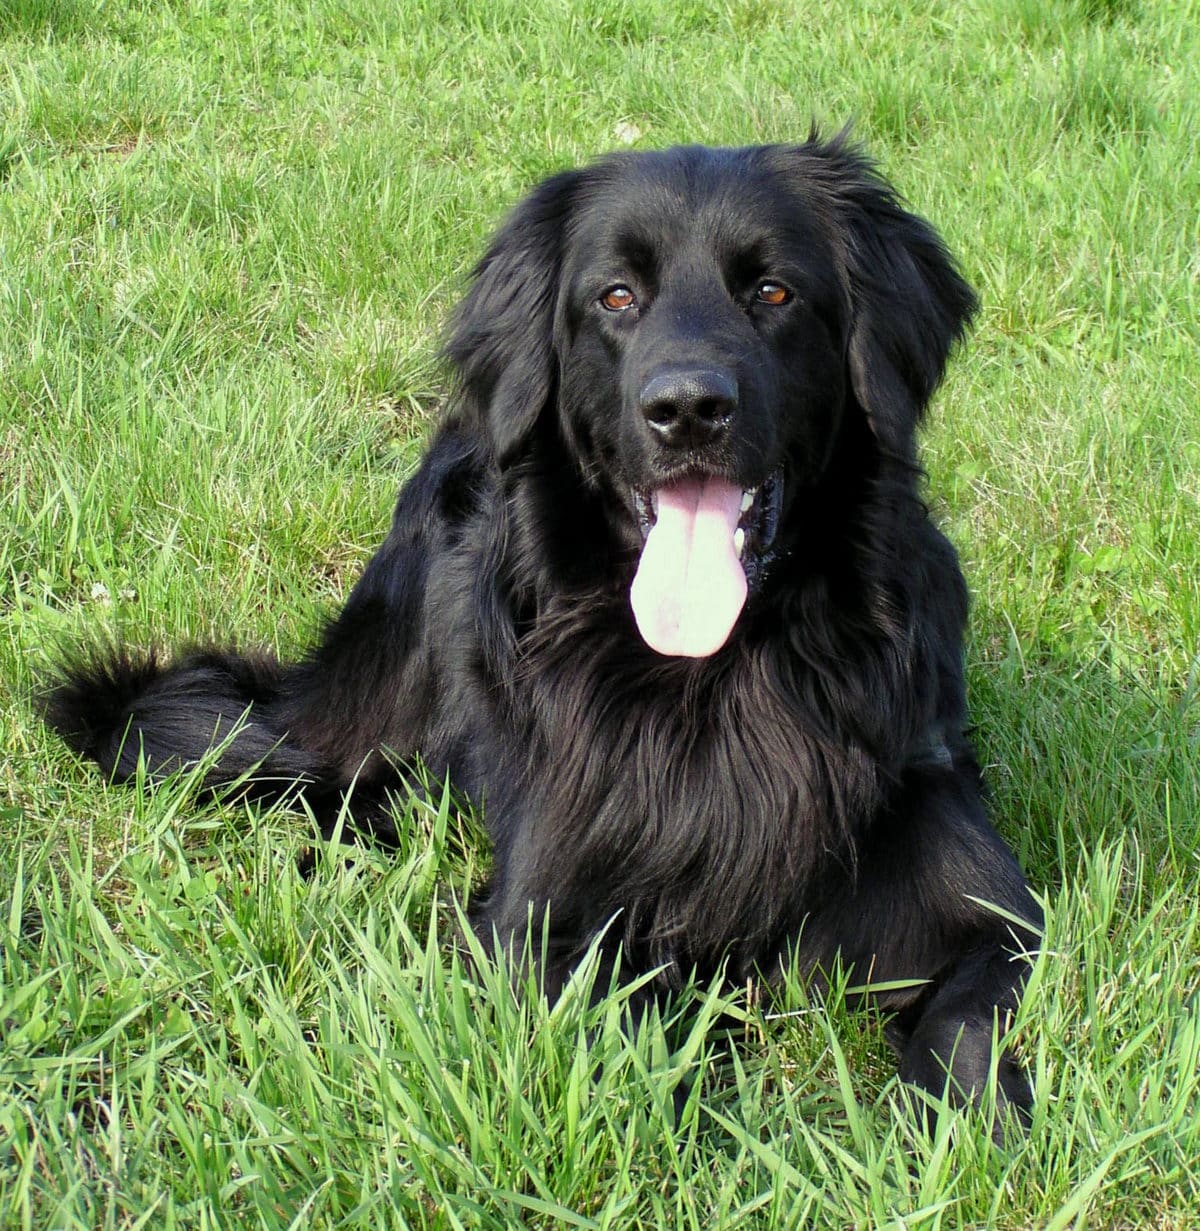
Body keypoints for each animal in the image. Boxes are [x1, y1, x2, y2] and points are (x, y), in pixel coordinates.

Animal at [44, 132, 1042, 1134]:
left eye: (773, 291)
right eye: (616, 297)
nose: (687, 409)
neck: (717, 676)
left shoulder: (980, 907)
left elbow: (964, 1027)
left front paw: (959, 1125)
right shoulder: (546, 919)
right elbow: (638, 1034)